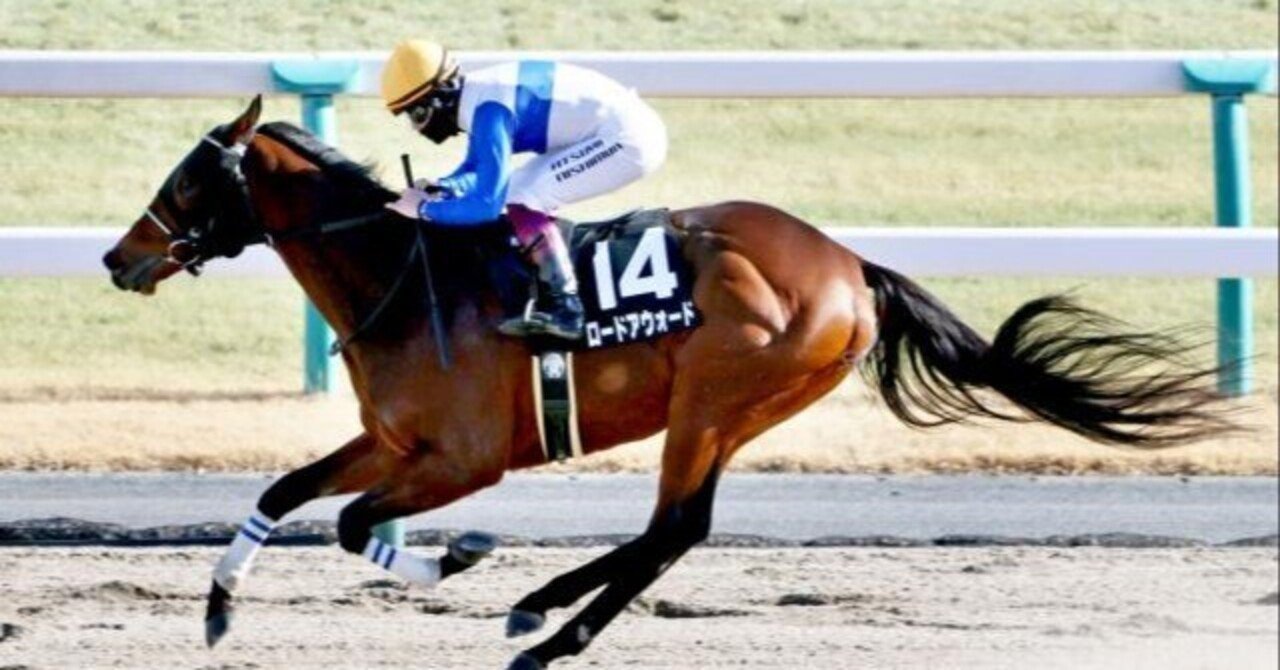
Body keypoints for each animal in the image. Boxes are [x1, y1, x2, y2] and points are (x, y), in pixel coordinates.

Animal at [102, 97, 1232, 669]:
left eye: (189, 179)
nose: (120, 258)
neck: (402, 278)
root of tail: (847, 262)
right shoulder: (391, 440)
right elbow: (286, 492)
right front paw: (218, 610)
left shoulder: (466, 459)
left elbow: (351, 525)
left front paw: (458, 556)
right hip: (735, 410)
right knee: (673, 530)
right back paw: (545, 614)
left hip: (716, 398)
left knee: (672, 528)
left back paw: (542, 626)